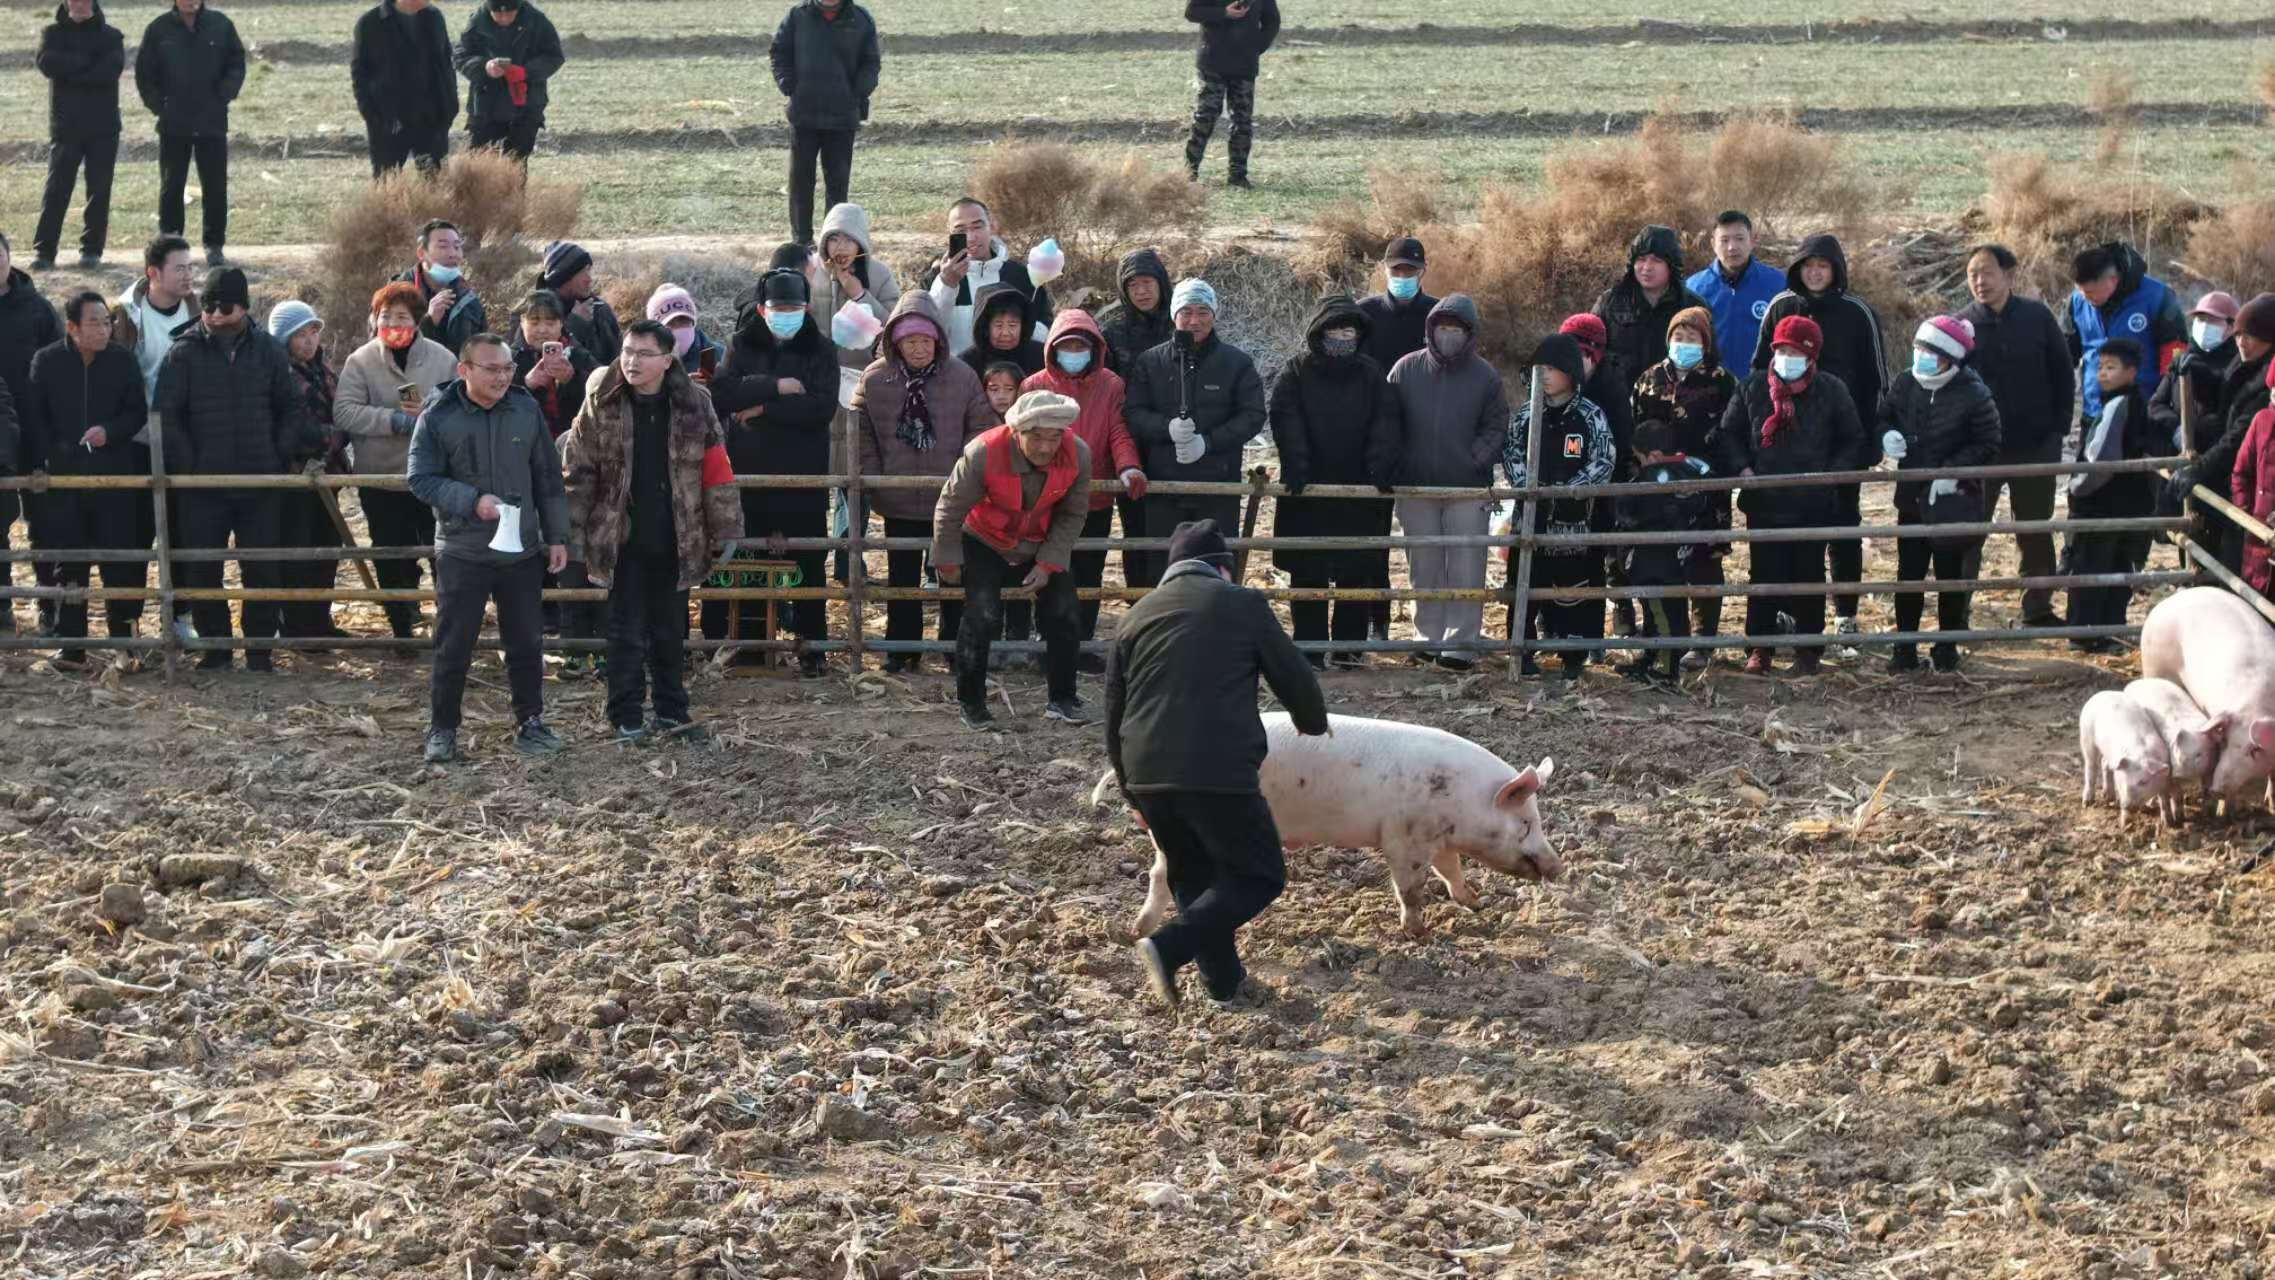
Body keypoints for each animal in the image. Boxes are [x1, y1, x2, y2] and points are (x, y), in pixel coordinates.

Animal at [1092, 712, 1565, 939]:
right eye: (1525, 822)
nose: (1559, 867)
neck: (1463, 798)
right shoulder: (1404, 837)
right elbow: (1409, 887)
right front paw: (1420, 933)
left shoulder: (1439, 839)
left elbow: (1452, 873)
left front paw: (1478, 904)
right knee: (1161, 874)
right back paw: (1138, 930)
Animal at [2078, 690, 2174, 826]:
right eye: (2125, 779)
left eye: (2143, 781)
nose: (2126, 805)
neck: (2142, 755)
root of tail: (2100, 694)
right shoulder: (2119, 779)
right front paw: (2124, 824)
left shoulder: (2165, 778)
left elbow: (2164, 799)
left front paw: (2168, 823)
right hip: (2086, 737)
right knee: (2090, 768)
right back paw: (2087, 803)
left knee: (2103, 763)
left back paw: (2108, 797)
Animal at [2122, 677, 2227, 821]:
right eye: (2174, 752)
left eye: (2199, 754)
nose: (2178, 774)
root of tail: (2133, 682)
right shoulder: (2169, 772)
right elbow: (2176, 795)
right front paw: (2178, 819)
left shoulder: (2210, 768)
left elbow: (2206, 790)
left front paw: (2208, 815)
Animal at [2141, 586, 2275, 803]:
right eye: (2225, 741)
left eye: (2255, 750)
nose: (2217, 789)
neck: (2259, 704)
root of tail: (2170, 599)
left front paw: (2270, 803)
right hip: (2153, 665)